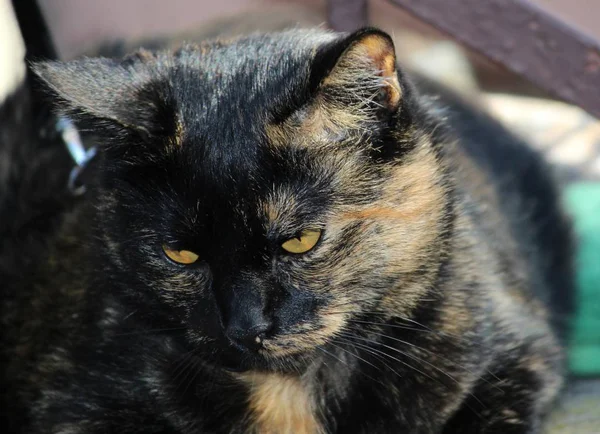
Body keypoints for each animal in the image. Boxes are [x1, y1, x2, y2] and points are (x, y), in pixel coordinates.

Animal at [0, 28, 572, 434]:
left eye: (300, 240)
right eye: (180, 254)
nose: (245, 326)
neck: (293, 389)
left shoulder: (516, 360)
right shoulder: (74, 402)